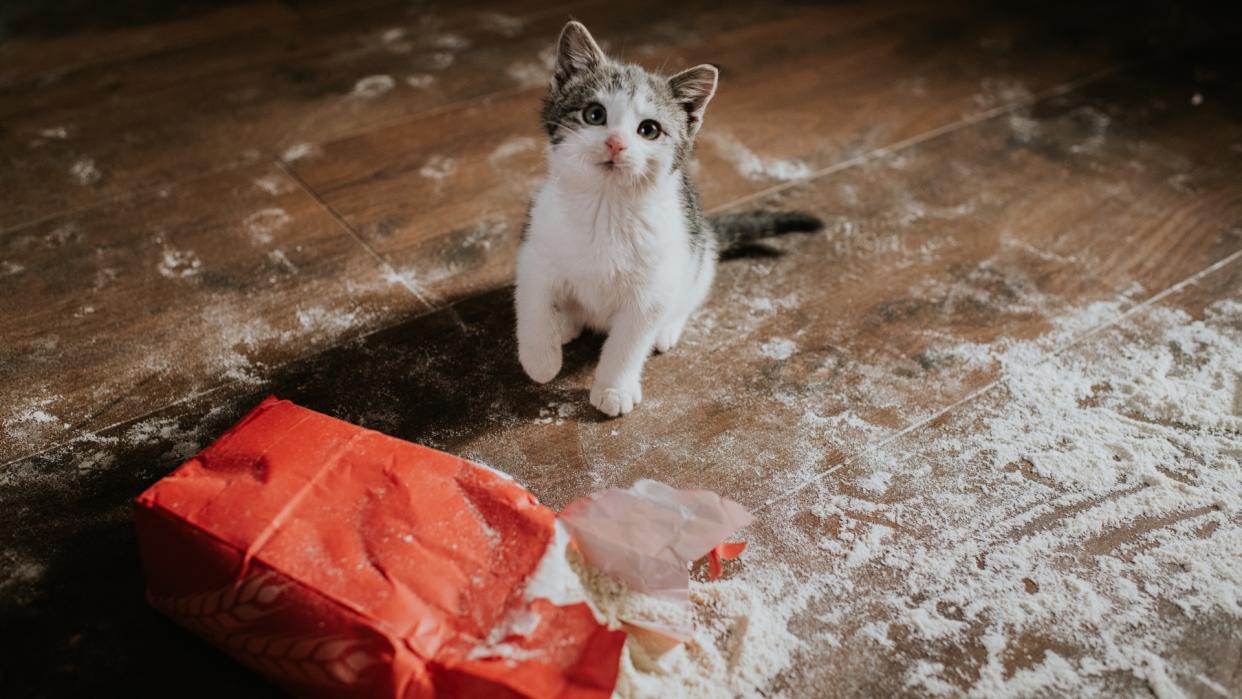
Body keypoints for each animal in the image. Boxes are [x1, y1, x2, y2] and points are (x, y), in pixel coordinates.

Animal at [516, 20, 824, 414]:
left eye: (648, 129)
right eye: (594, 115)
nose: (615, 144)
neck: (606, 207)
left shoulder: (653, 287)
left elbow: (629, 342)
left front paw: (614, 387)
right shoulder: (534, 253)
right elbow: (533, 306)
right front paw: (541, 359)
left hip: (698, 255)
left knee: (687, 296)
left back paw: (665, 328)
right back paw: (565, 321)